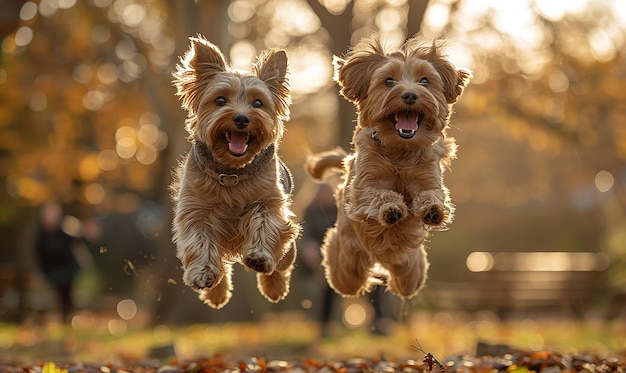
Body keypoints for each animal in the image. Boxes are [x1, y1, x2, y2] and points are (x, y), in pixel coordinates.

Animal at [169, 35, 298, 308]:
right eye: (220, 100)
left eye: (258, 103)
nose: (241, 118)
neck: (232, 173)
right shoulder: (195, 210)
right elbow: (200, 242)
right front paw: (203, 274)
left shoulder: (269, 202)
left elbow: (267, 226)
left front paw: (259, 257)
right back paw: (216, 293)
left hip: (288, 250)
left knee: (283, 260)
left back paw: (274, 287)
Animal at [304, 36, 470, 300]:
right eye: (388, 81)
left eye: (425, 80)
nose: (410, 95)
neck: (400, 151)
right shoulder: (364, 184)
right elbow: (377, 194)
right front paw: (392, 208)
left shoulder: (428, 176)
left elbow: (433, 193)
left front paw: (432, 209)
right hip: (347, 265)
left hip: (412, 270)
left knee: (405, 281)